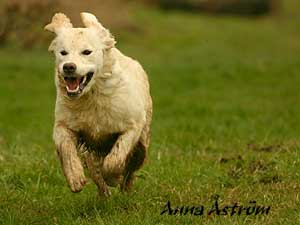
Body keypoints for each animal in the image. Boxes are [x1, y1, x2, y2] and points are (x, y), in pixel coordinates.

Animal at [44, 12, 152, 196]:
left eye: (87, 52)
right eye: (63, 53)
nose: (68, 67)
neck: (92, 96)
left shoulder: (132, 126)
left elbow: (114, 159)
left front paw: (113, 177)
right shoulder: (63, 126)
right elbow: (66, 150)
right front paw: (75, 178)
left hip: (142, 144)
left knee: (131, 168)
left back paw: (125, 188)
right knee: (95, 170)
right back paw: (104, 193)